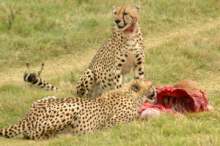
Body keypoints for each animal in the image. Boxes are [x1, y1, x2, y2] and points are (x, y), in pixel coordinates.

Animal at [0, 79, 156, 140]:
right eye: (150, 85)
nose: (155, 90)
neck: (129, 94)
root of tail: (28, 117)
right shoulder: (110, 125)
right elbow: (132, 123)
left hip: (51, 97)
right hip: (73, 108)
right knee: (38, 135)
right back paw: (67, 136)